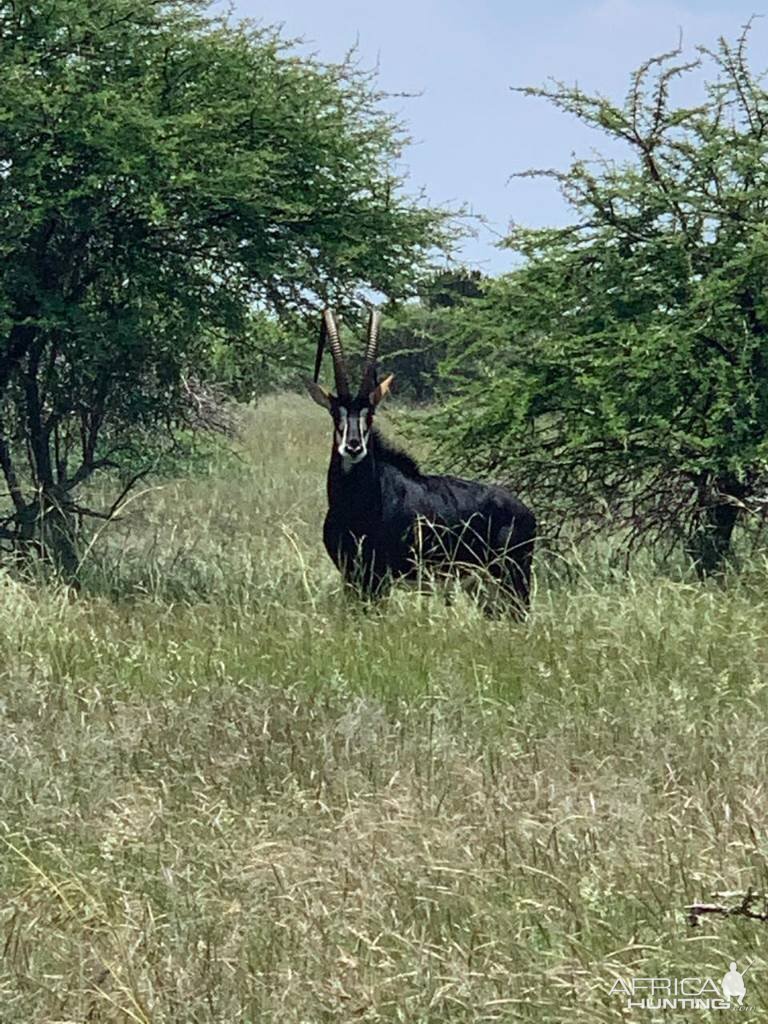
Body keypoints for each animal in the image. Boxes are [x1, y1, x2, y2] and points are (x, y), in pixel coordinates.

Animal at [307, 307, 536, 610]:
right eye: (336, 414)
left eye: (370, 414)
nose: (353, 447)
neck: (353, 505)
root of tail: (527, 513)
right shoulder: (352, 576)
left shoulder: (379, 578)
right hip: (483, 588)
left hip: (513, 579)